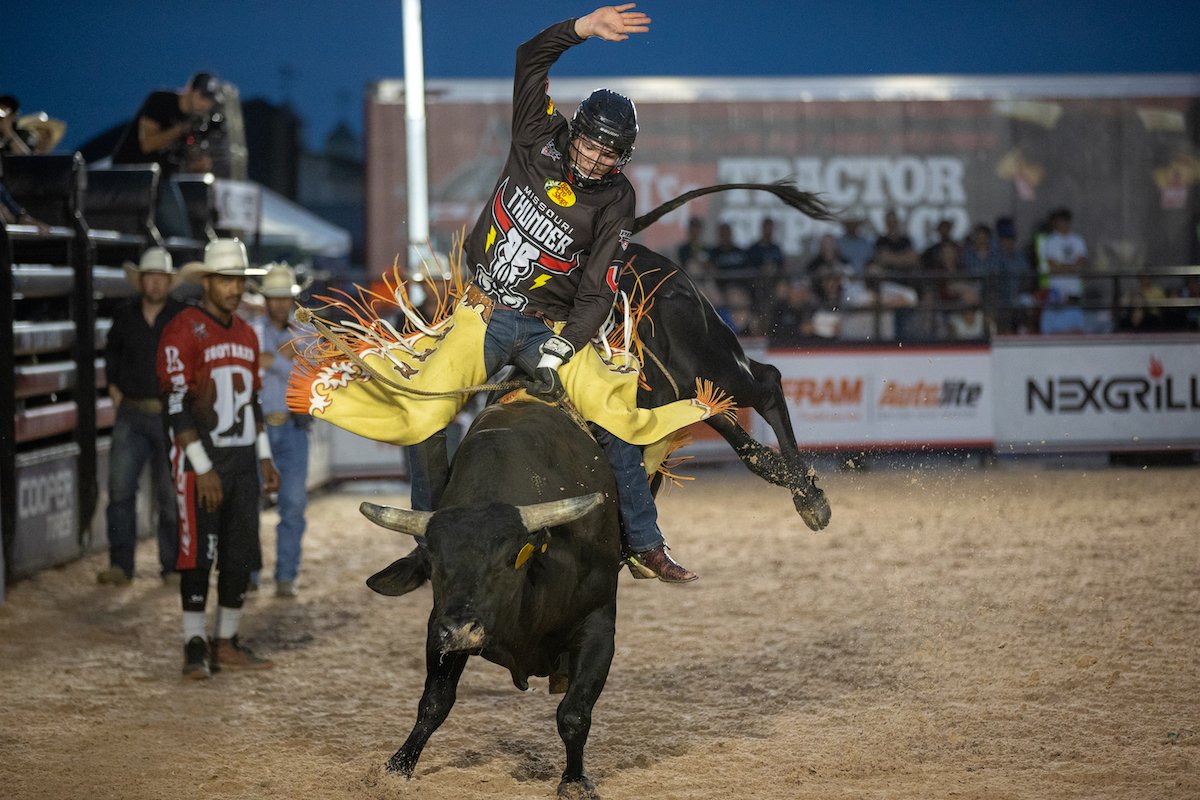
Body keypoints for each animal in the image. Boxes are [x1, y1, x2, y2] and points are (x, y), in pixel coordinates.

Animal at [357, 400, 619, 800]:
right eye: (433, 563)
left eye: (509, 558)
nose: (462, 631)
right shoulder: (438, 627)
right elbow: (434, 702)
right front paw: (397, 768)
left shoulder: (599, 626)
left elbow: (574, 713)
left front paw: (574, 780)